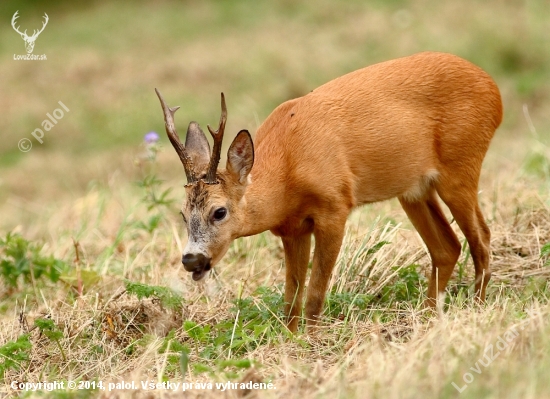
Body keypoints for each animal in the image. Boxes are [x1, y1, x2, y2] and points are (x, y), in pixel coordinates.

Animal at [155, 51, 504, 332]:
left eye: (220, 211)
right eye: (183, 214)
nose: (191, 260)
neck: (286, 170)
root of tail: (494, 90)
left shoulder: (335, 206)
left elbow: (315, 291)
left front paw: (309, 340)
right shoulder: (292, 228)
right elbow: (291, 296)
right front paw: (291, 339)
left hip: (460, 165)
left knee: (481, 238)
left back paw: (476, 308)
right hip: (414, 190)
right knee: (448, 247)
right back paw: (428, 316)